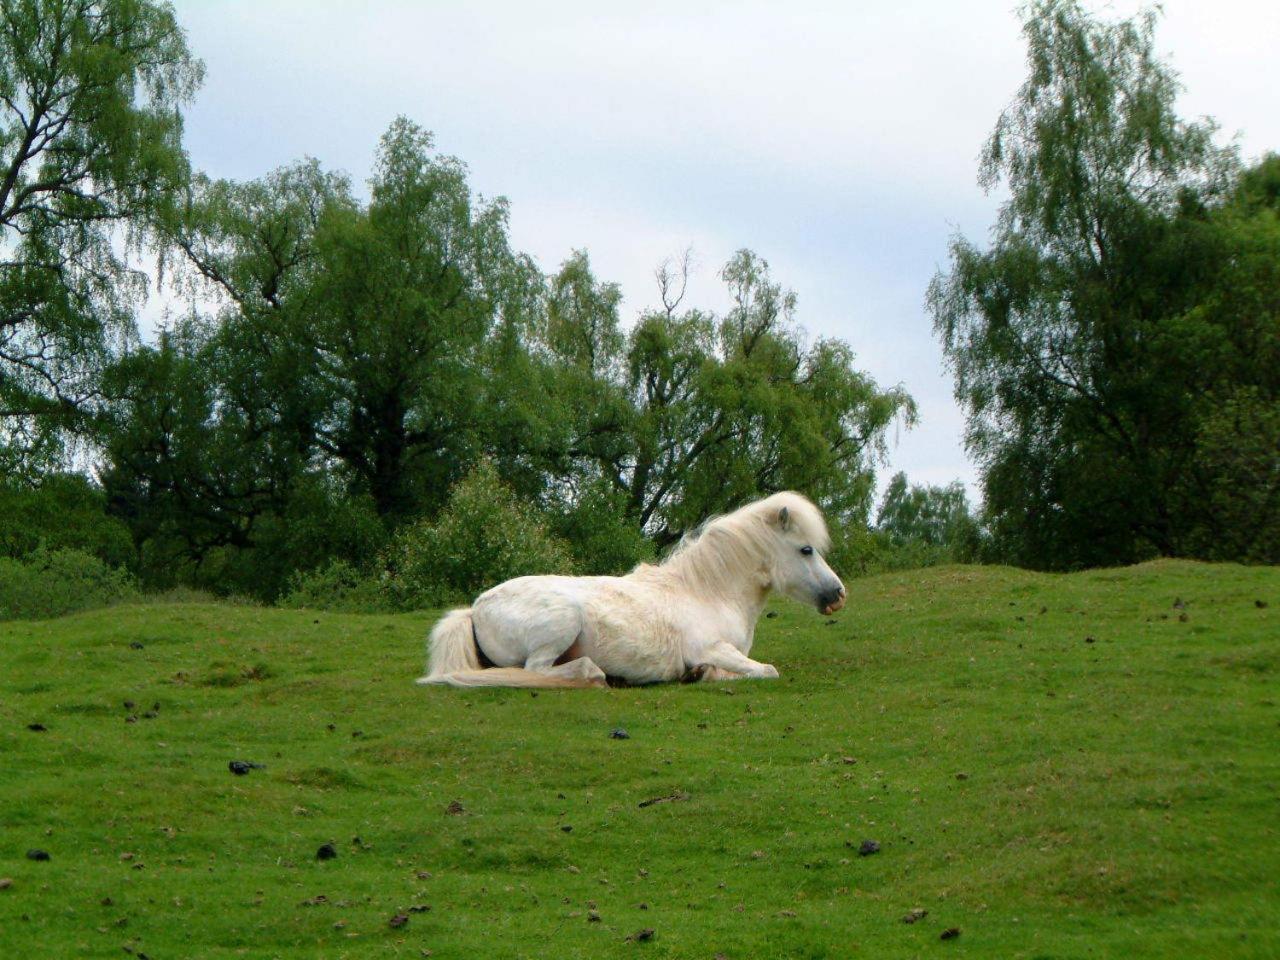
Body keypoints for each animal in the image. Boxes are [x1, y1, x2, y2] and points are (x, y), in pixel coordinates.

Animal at [414, 491, 844, 686]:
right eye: (806, 549)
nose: (838, 595)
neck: (707, 592)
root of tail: (476, 608)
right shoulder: (712, 648)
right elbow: (765, 671)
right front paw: (702, 673)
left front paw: (698, 675)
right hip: (562, 623)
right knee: (540, 670)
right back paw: (595, 675)